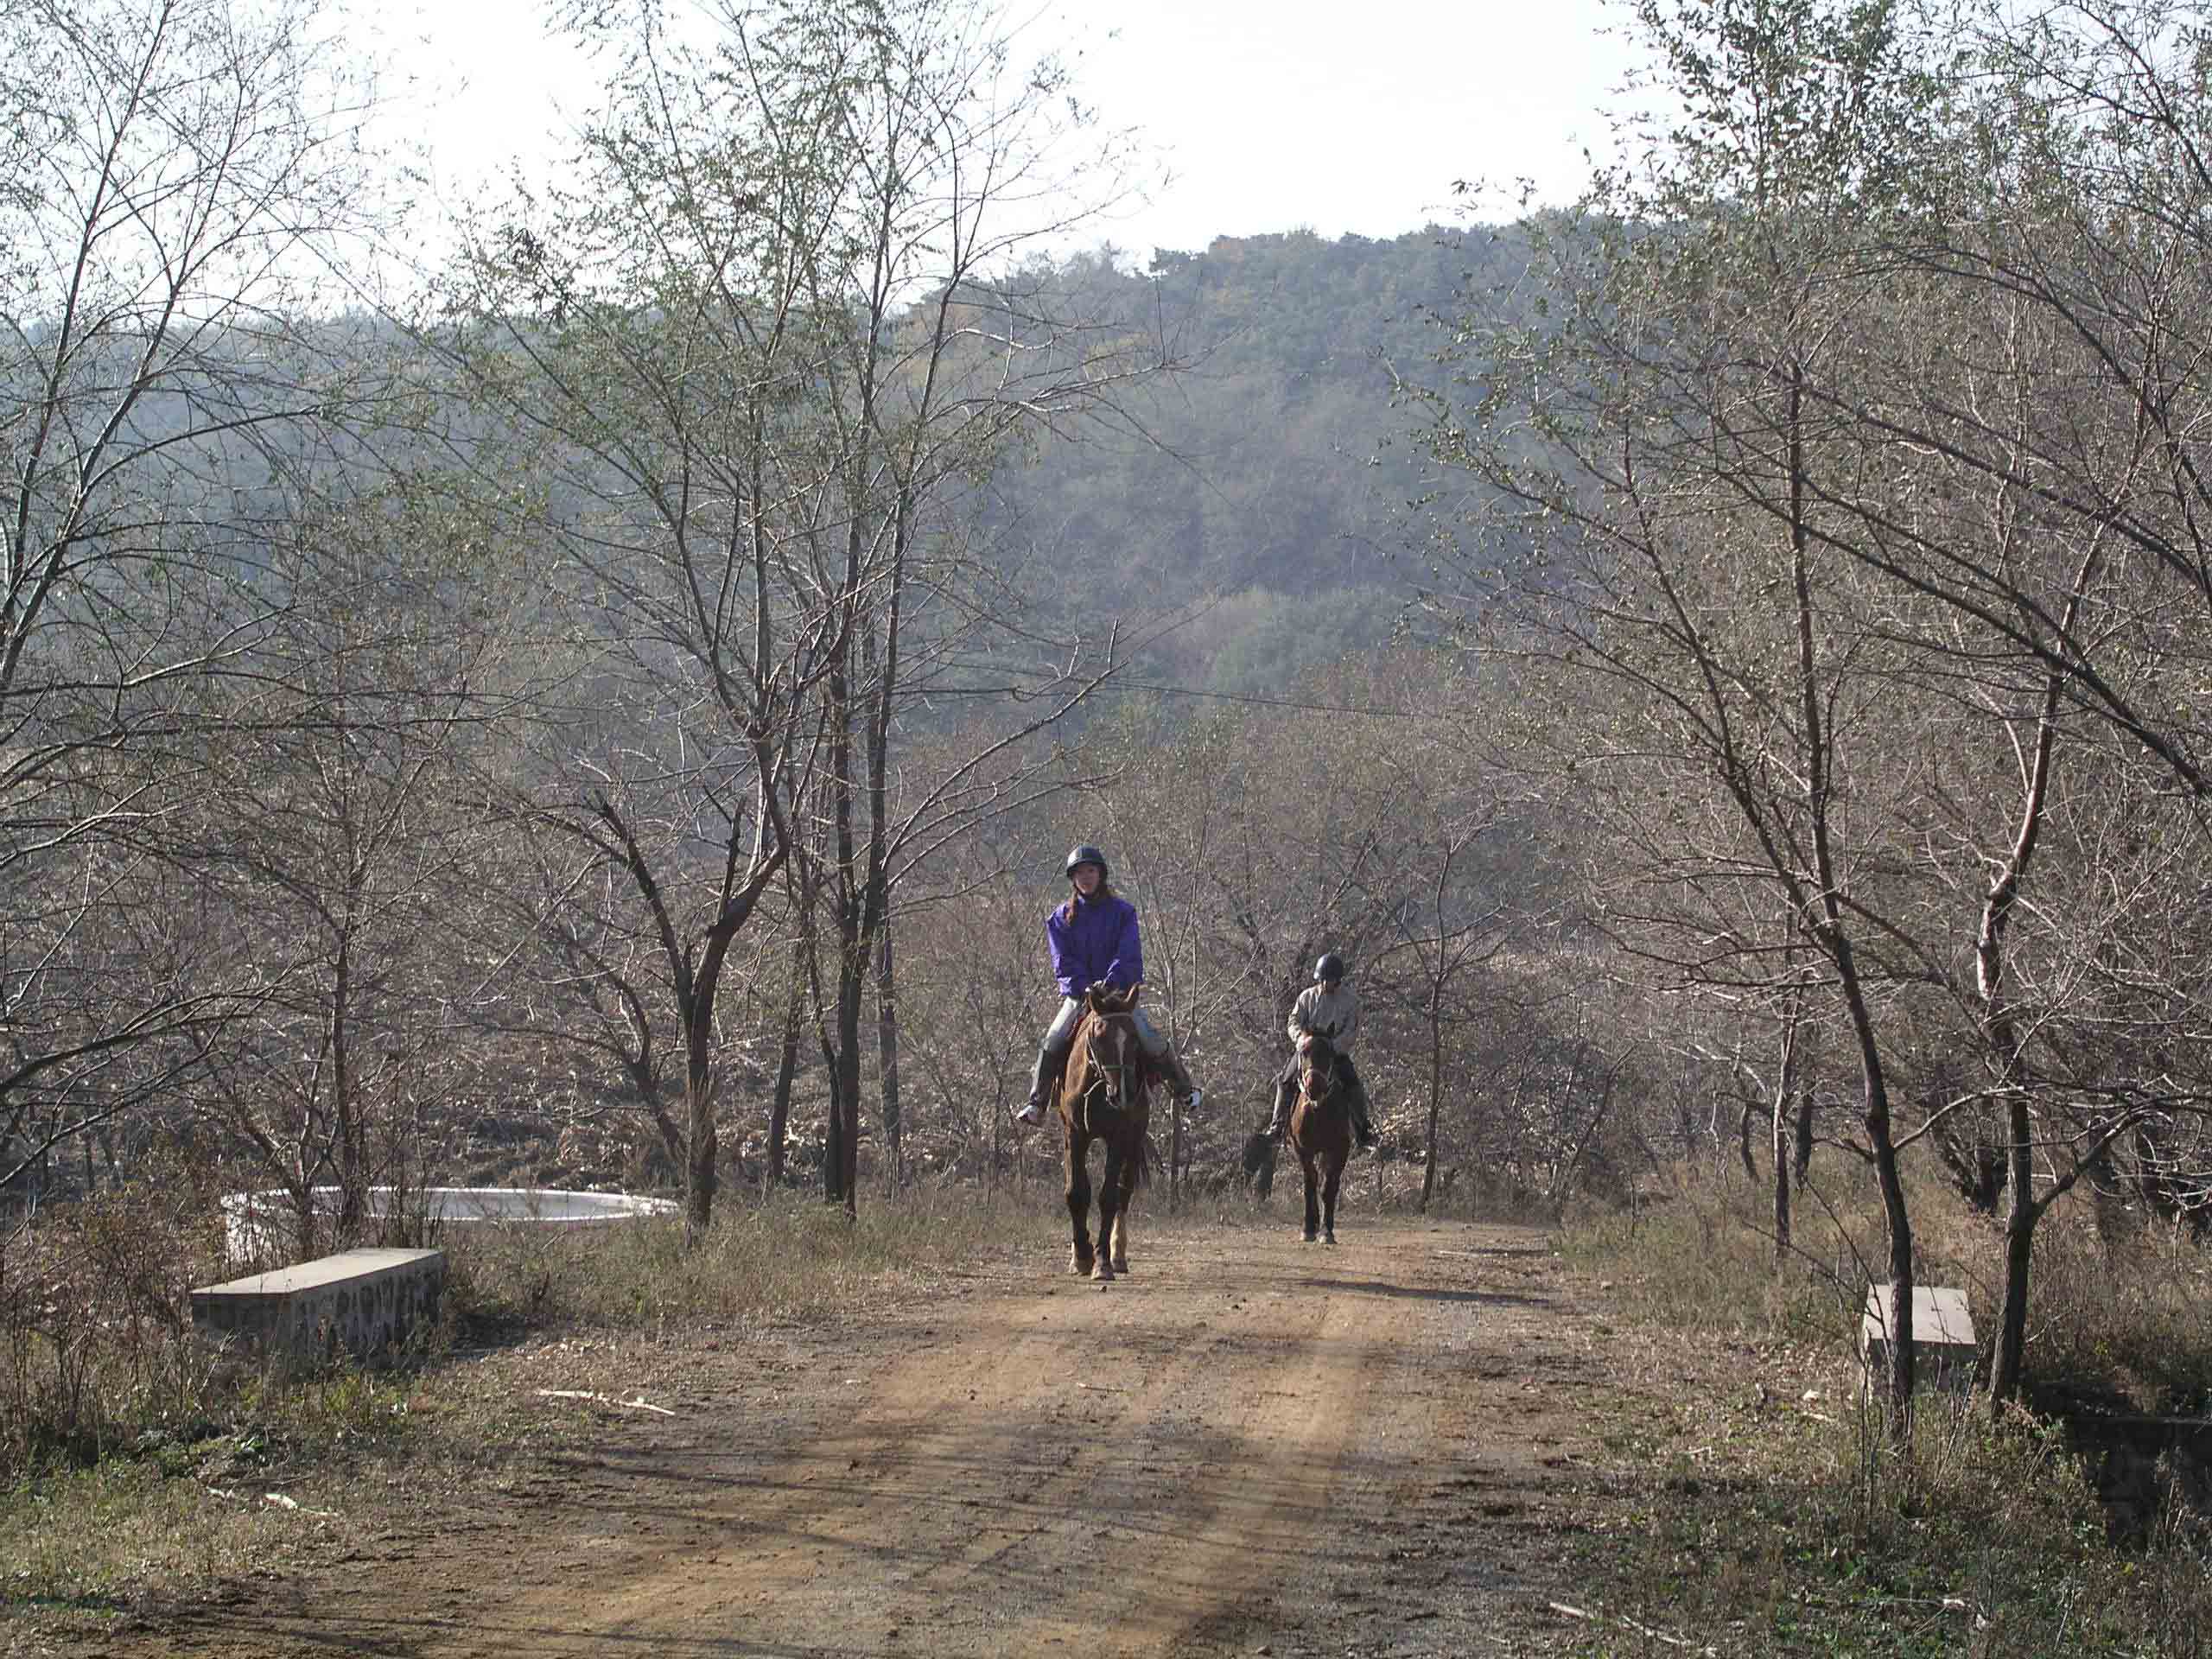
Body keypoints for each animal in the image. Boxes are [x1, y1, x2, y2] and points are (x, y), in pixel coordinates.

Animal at [1057, 986, 1159, 1282]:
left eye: (1134, 1039)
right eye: (1099, 1037)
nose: (1122, 1094)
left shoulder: (1119, 1137)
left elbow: (1108, 1197)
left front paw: (1101, 1262)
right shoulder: (1074, 1136)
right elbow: (1076, 1192)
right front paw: (1081, 1256)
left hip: (1134, 1141)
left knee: (1124, 1192)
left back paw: (1118, 1254)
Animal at [1292, 1035, 1353, 1238]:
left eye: (1330, 1053)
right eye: (1303, 1052)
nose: (1314, 1087)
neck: (1317, 1111)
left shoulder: (1338, 1150)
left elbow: (1328, 1187)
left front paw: (1326, 1232)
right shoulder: (1303, 1150)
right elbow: (1309, 1184)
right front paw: (1308, 1228)